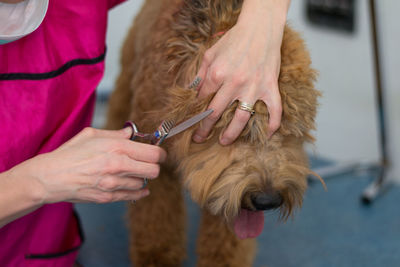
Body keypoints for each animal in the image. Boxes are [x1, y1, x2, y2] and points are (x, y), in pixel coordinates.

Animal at [105, 0, 322, 267]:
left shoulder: (225, 190)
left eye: (287, 129)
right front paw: (157, 256)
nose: (268, 200)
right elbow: (157, 221)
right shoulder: (157, 165)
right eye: (237, 130)